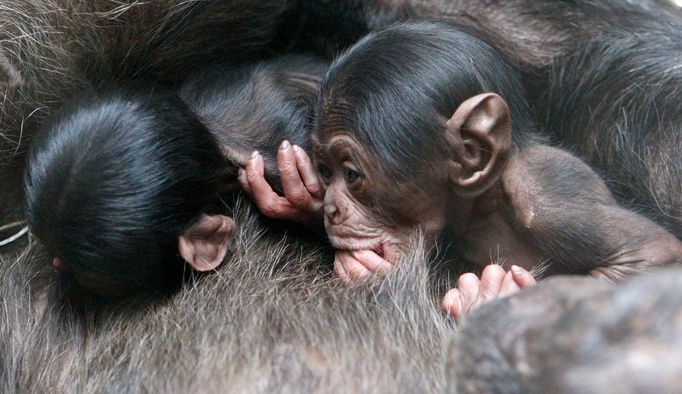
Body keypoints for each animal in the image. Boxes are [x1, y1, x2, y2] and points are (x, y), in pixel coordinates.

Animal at [242, 22, 676, 318]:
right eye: (325, 172)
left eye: (351, 175)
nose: (333, 208)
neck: (480, 203)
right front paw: (303, 198)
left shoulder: (552, 199)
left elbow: (654, 257)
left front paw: (491, 299)